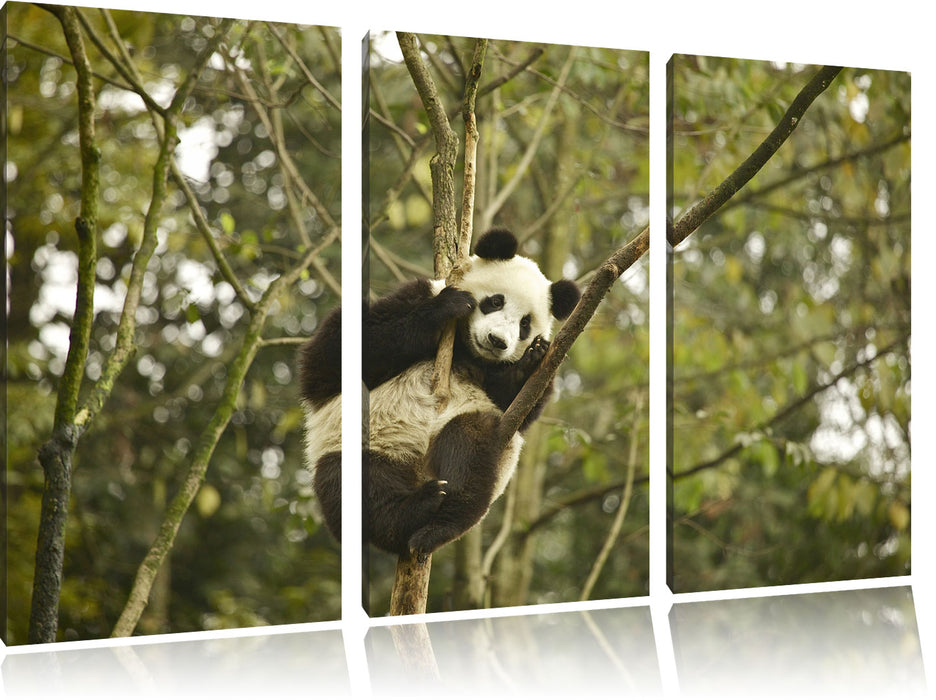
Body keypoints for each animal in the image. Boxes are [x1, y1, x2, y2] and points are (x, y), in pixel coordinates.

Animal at [298, 227, 576, 560]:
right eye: (495, 301)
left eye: (525, 324)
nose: (497, 341)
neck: (468, 352)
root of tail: (419, 471)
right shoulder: (415, 294)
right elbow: (329, 357)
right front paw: (447, 307)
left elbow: (518, 405)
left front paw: (532, 358)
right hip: (360, 443)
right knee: (352, 483)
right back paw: (409, 512)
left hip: (471, 434)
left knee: (471, 448)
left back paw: (437, 521)